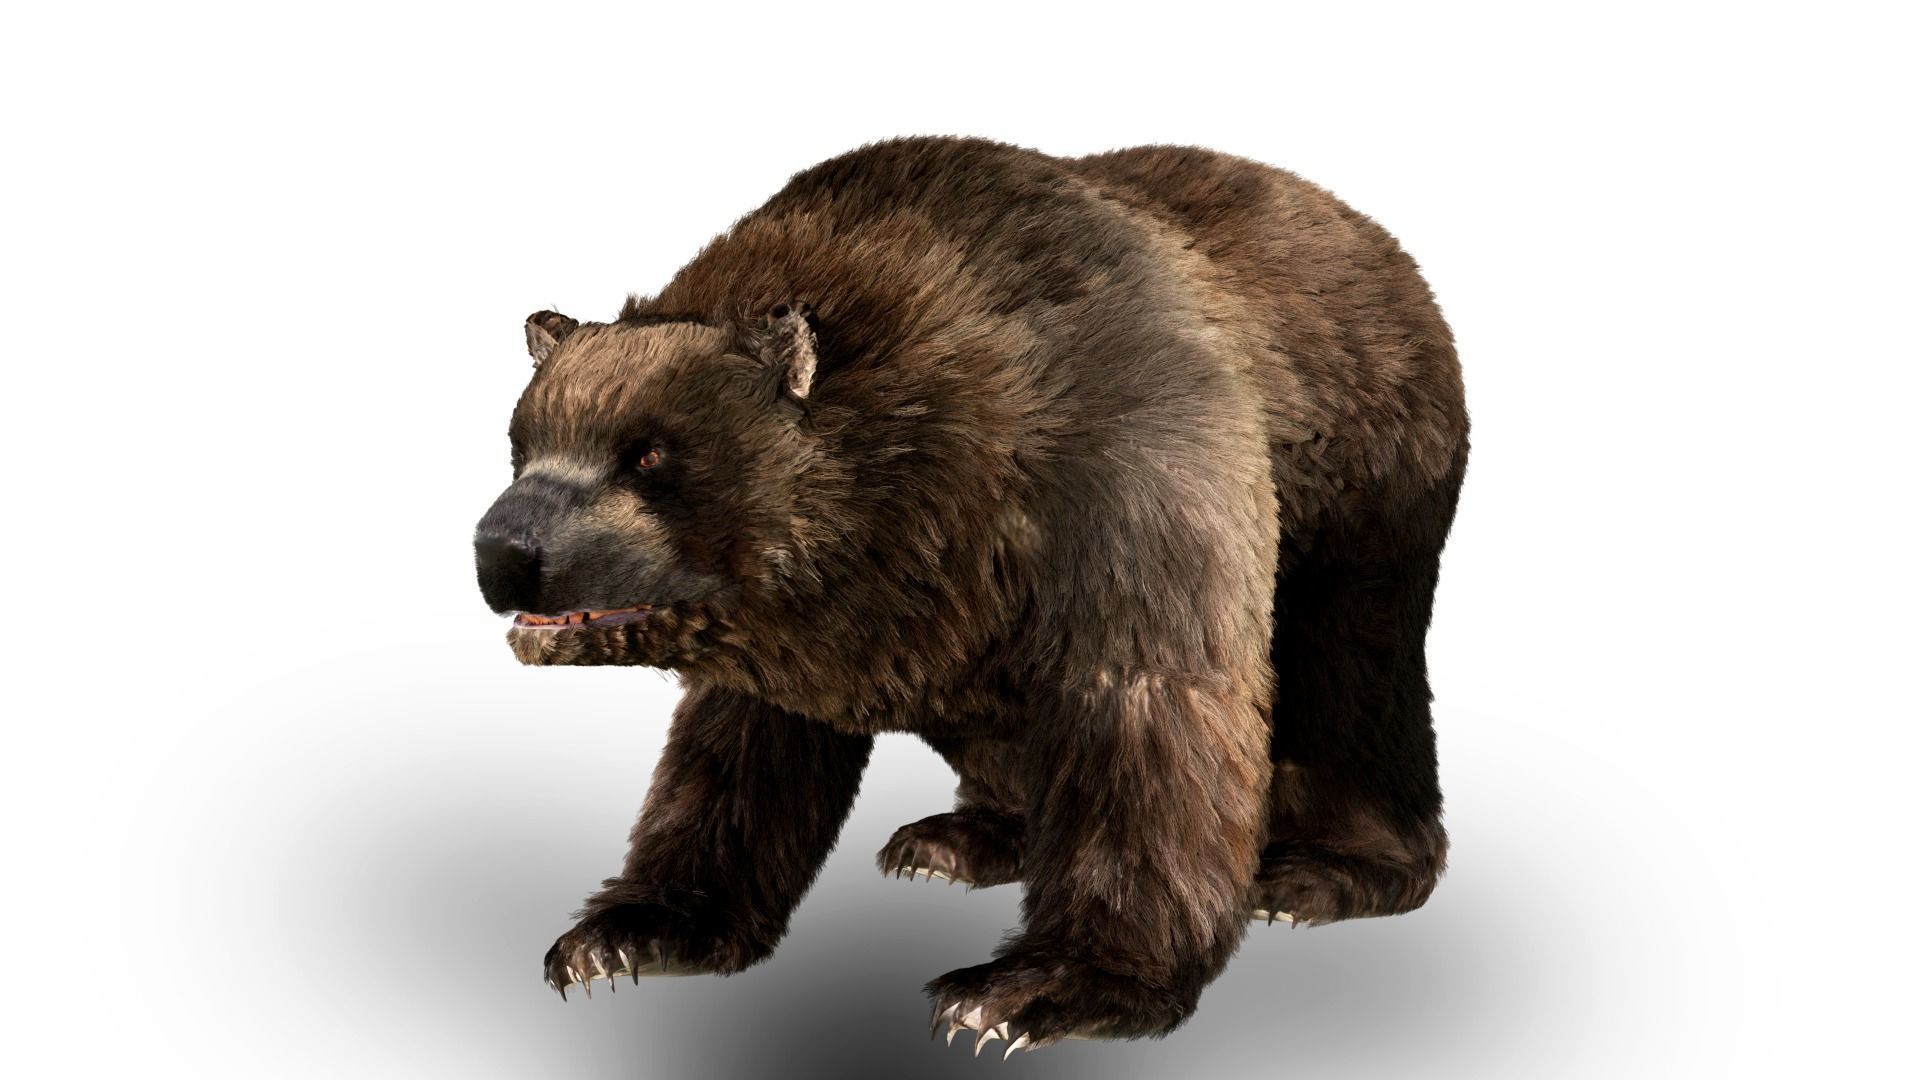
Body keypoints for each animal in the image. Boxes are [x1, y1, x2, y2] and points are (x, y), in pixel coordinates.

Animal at [472, 136, 1467, 1053]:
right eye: (524, 441)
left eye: (648, 454)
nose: (502, 553)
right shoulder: (804, 619)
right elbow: (742, 747)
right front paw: (626, 934)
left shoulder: (1129, 467)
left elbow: (1150, 698)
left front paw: (1031, 990)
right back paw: (959, 840)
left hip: (1369, 498)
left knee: (1350, 680)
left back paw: (1319, 872)